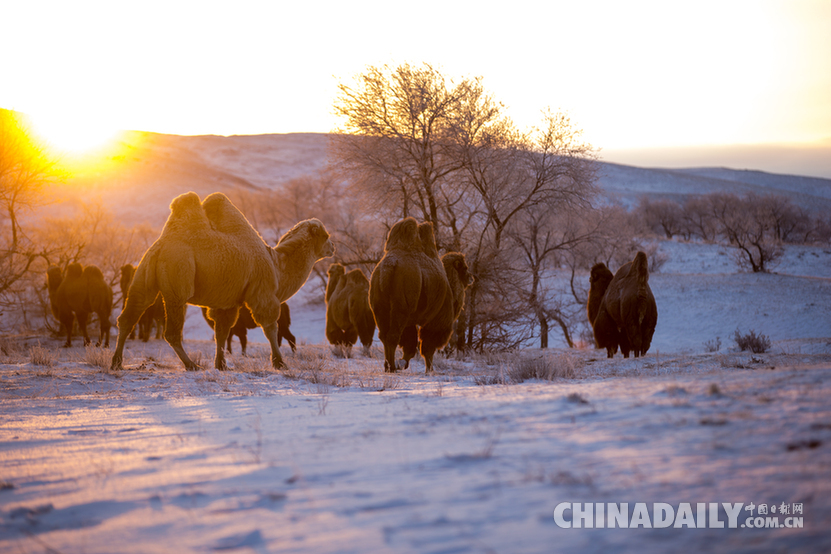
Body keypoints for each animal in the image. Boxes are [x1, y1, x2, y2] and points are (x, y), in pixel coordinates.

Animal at [109, 191, 334, 370]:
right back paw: (191, 365)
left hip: (143, 275)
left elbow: (221, 332)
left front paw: (221, 365)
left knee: (129, 316)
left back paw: (117, 362)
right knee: (171, 331)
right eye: (325, 235)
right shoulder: (262, 292)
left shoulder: (227, 302)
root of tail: (161, 246)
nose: (333, 248)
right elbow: (270, 326)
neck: (277, 265)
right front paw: (279, 363)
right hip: (178, 277)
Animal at [370, 218, 468, 374]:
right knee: (392, 336)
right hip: (401, 308)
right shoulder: (437, 320)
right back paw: (392, 367)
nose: (471, 278)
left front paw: (402, 363)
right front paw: (429, 370)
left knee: (384, 335)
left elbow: (410, 344)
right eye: (464, 268)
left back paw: (388, 366)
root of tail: (387, 268)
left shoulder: (410, 322)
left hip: (379, 307)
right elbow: (427, 346)